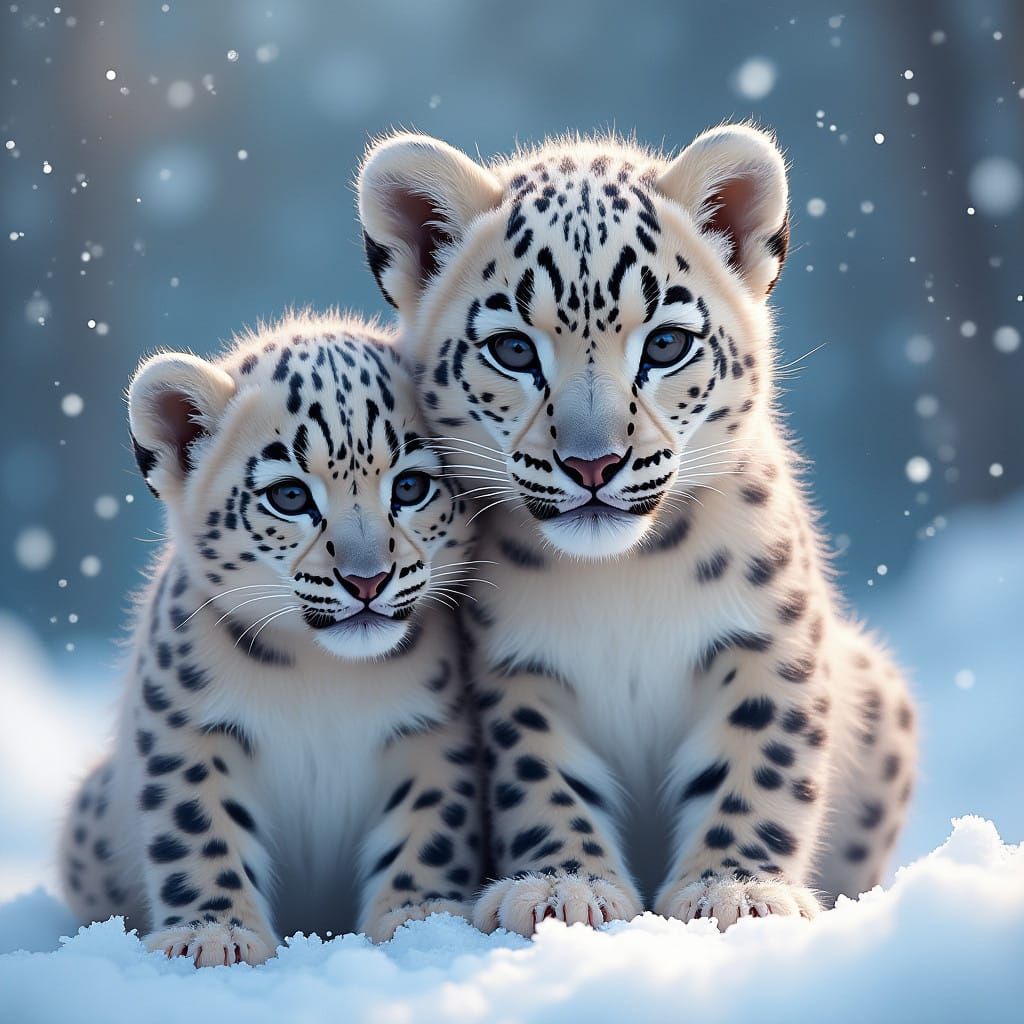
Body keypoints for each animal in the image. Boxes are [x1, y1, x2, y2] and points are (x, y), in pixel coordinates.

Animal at [58, 310, 484, 965]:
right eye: (289, 495)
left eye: (411, 487)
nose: (367, 579)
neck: (326, 676)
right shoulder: (190, 727)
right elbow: (197, 830)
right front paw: (212, 934)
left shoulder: (434, 731)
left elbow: (430, 826)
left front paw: (422, 919)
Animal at [356, 124, 918, 935]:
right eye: (513, 349)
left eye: (664, 344)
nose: (593, 462)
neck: (623, 578)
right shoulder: (517, 671)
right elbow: (540, 776)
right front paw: (562, 885)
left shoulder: (766, 639)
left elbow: (763, 759)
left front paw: (735, 889)